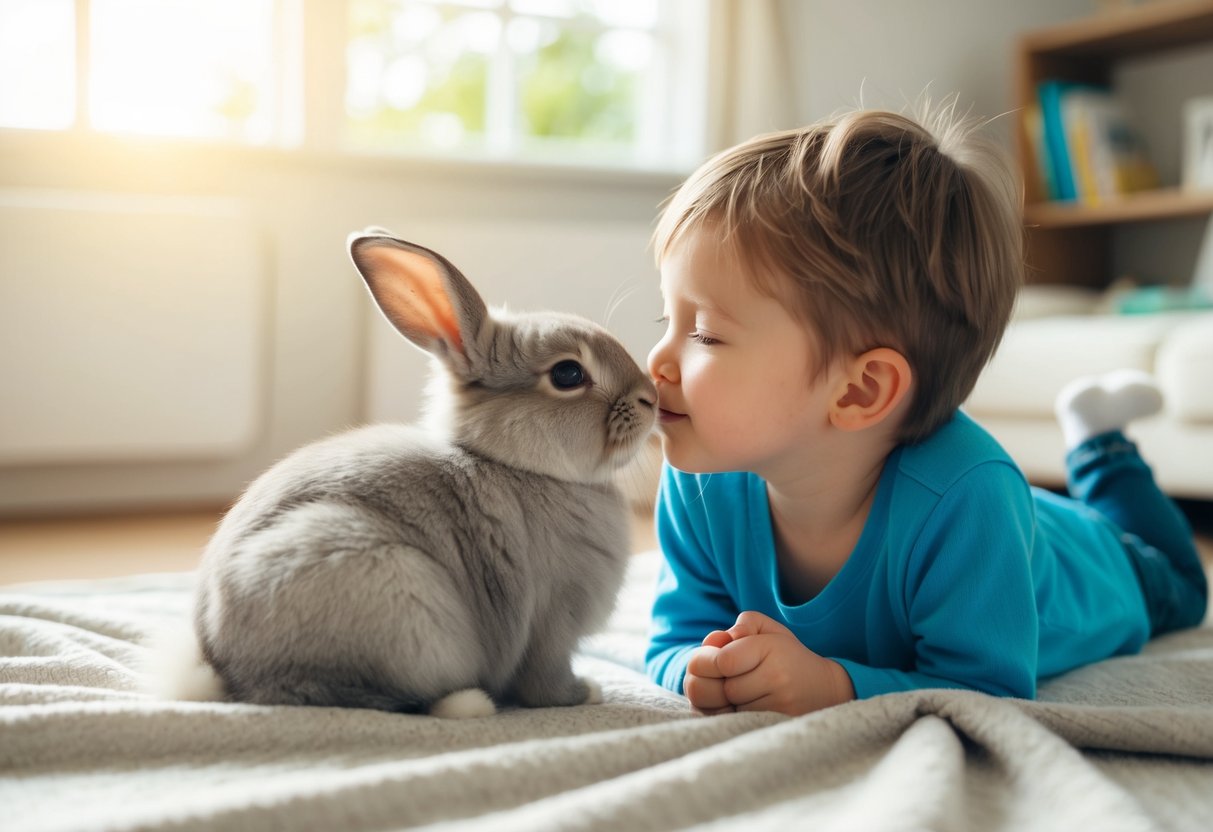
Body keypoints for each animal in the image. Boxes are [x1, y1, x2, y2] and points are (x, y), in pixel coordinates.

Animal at [172, 229, 657, 718]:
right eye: (568, 374)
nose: (651, 397)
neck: (517, 465)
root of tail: (220, 667)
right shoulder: (553, 624)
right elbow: (545, 684)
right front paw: (587, 693)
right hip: (395, 597)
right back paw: (464, 703)